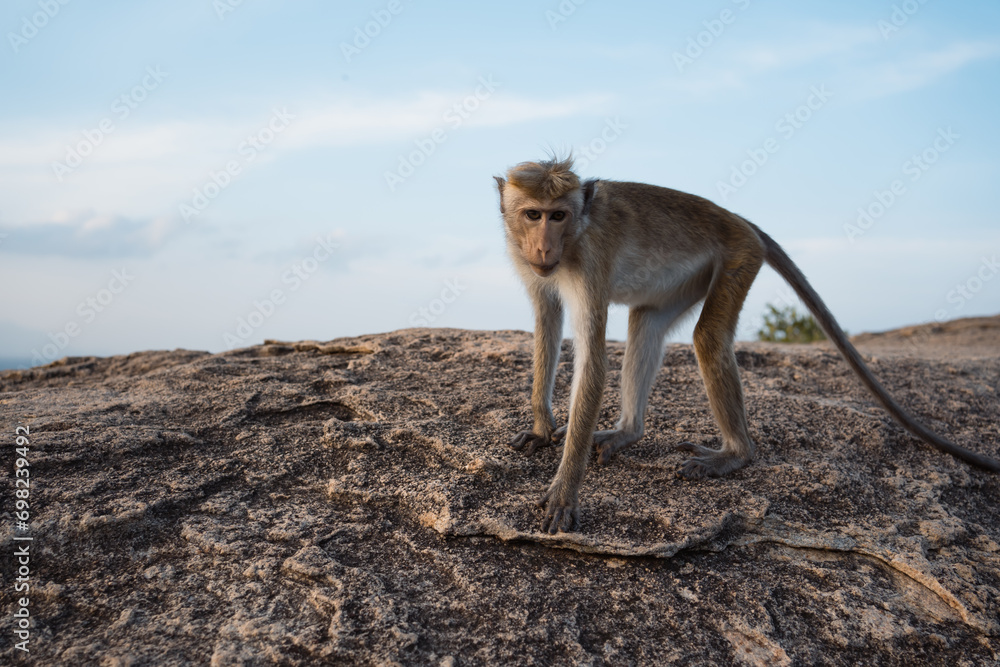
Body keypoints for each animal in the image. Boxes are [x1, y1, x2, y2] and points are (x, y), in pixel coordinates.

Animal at [494, 156, 1000, 535]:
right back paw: (628, 431)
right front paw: (541, 428)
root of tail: (738, 219)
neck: (573, 239)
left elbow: (592, 359)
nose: (543, 247)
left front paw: (564, 491)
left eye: (558, 214)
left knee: (706, 337)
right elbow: (547, 322)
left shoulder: (590, 259)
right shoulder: (530, 264)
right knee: (647, 323)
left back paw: (736, 454)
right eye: (533, 214)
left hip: (740, 254)